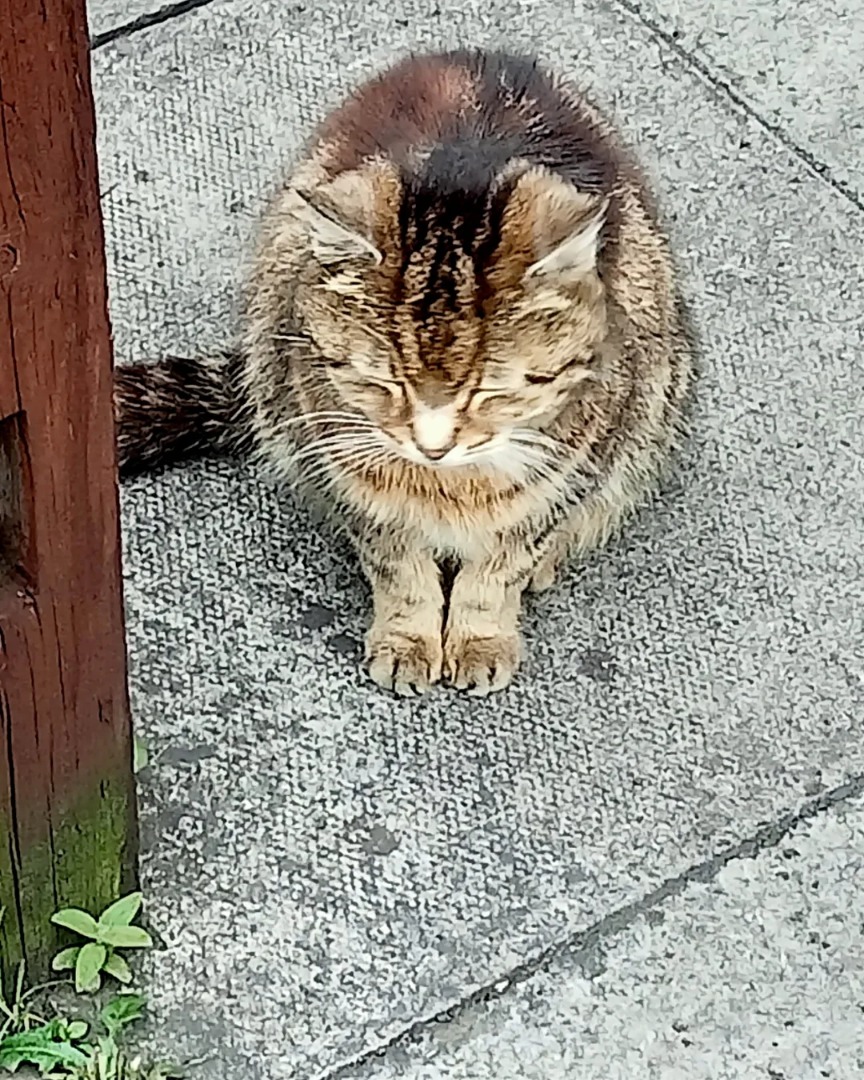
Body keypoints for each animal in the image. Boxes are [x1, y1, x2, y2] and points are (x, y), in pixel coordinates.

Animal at [114, 46, 695, 695]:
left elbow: (498, 571)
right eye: (386, 383)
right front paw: (408, 639)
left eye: (488, 391)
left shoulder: (570, 471)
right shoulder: (347, 476)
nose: (432, 446)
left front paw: (481, 637)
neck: (449, 488)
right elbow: (399, 568)